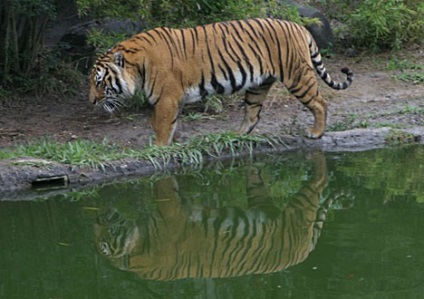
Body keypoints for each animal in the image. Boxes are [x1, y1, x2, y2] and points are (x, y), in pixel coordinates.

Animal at [88, 17, 352, 146]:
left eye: (100, 83)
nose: (91, 101)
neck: (137, 65)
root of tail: (299, 27)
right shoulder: (173, 100)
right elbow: (163, 123)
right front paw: (174, 142)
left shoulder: (167, 98)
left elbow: (162, 125)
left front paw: (160, 147)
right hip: (258, 86)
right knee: (253, 115)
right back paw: (236, 136)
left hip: (297, 76)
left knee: (320, 103)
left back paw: (316, 133)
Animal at [94, 154, 342, 282]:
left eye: (105, 242)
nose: (98, 219)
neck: (138, 243)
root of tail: (304, 253)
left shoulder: (172, 213)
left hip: (299, 210)